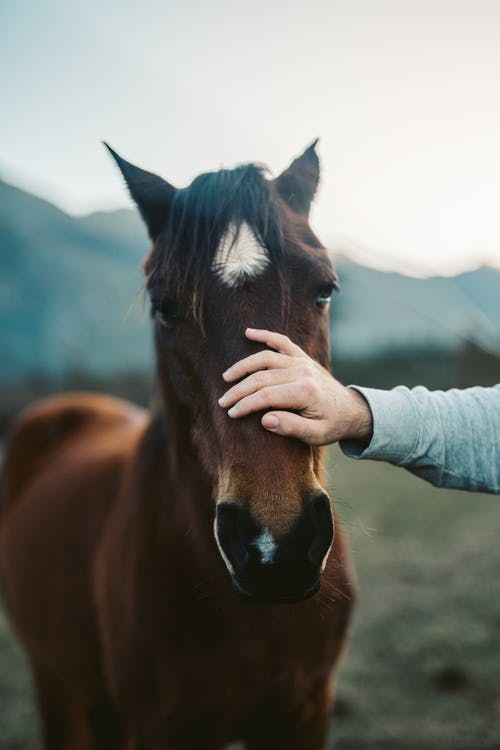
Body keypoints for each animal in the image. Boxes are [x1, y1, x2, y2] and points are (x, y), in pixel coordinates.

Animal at [0, 142, 354, 750]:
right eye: (164, 306)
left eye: (324, 290)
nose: (275, 546)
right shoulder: (162, 726)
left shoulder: (304, 714)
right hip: (58, 684)